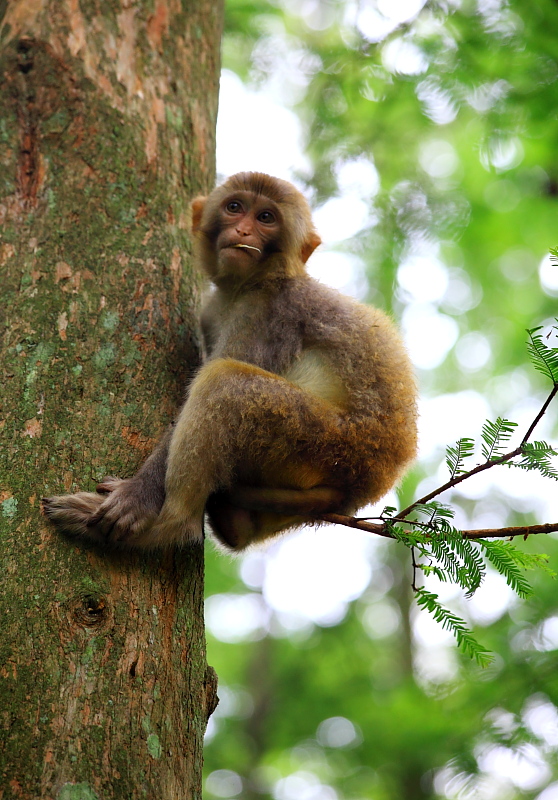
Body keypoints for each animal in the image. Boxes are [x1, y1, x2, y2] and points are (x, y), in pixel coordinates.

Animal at [43, 173, 418, 552]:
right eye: (235, 207)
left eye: (266, 218)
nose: (242, 231)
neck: (247, 286)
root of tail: (365, 485)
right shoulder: (211, 315)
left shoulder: (266, 314)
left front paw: (137, 497)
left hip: (330, 444)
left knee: (224, 384)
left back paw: (168, 528)